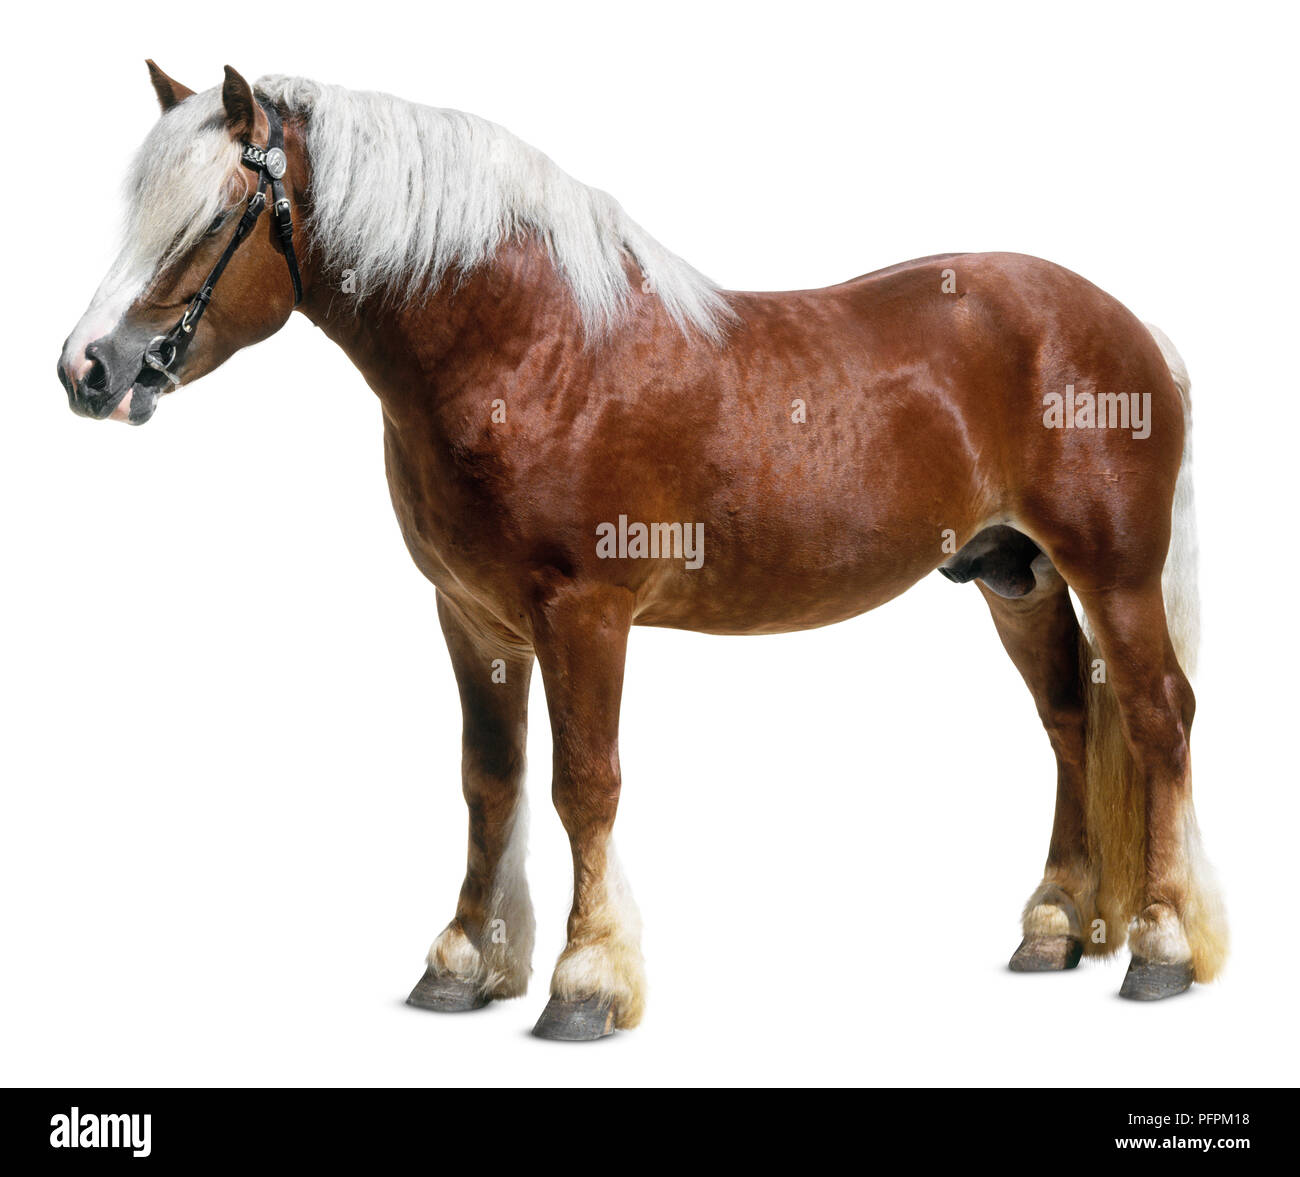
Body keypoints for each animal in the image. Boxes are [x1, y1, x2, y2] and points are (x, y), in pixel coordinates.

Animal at [57, 62, 1227, 1041]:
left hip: (1114, 574)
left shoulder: (583, 611)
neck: (530, 347)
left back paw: (1162, 948)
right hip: (1012, 575)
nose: (87, 367)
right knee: (1070, 719)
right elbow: (490, 781)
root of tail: (1134, 331)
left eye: (216, 215)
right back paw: (1055, 926)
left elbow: (584, 784)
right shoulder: (472, 616)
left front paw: (584, 982)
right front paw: (462, 966)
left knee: (1157, 717)